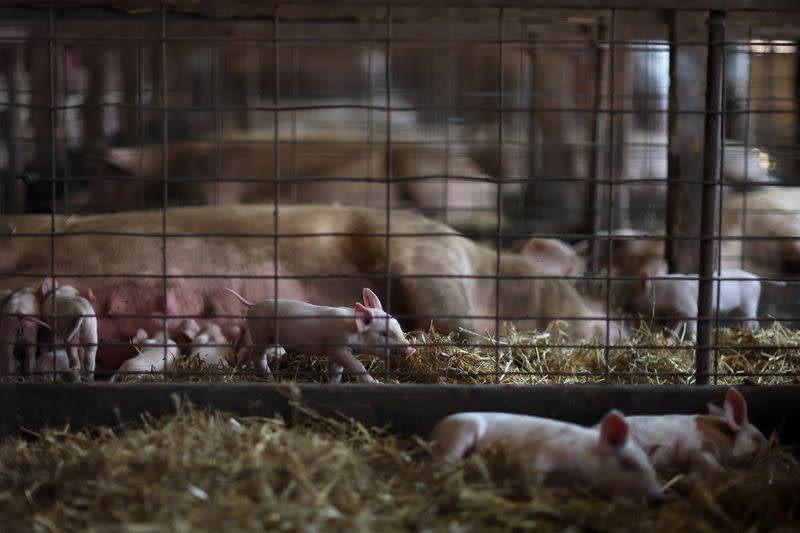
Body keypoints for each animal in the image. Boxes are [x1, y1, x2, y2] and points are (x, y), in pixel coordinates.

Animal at [223, 286, 416, 382]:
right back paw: (270, 378)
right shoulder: (338, 348)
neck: (353, 329)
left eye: (399, 328)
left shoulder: (335, 353)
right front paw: (374, 383)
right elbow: (357, 365)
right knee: (258, 356)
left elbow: (336, 371)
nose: (411, 350)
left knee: (247, 353)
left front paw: (333, 384)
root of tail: (253, 305)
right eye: (384, 334)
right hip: (262, 335)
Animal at [432, 410, 664, 500]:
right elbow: (533, 480)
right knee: (444, 462)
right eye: (628, 464)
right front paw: (561, 493)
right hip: (461, 432)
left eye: (653, 469)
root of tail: (438, 427)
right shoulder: (546, 452)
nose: (659, 498)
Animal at [628, 266, 764, 336]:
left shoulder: (689, 308)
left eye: (634, 294)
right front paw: (670, 338)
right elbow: (673, 328)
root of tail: (755, 278)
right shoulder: (675, 314)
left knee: (752, 321)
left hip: (749, 303)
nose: (625, 308)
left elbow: (692, 323)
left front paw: (692, 340)